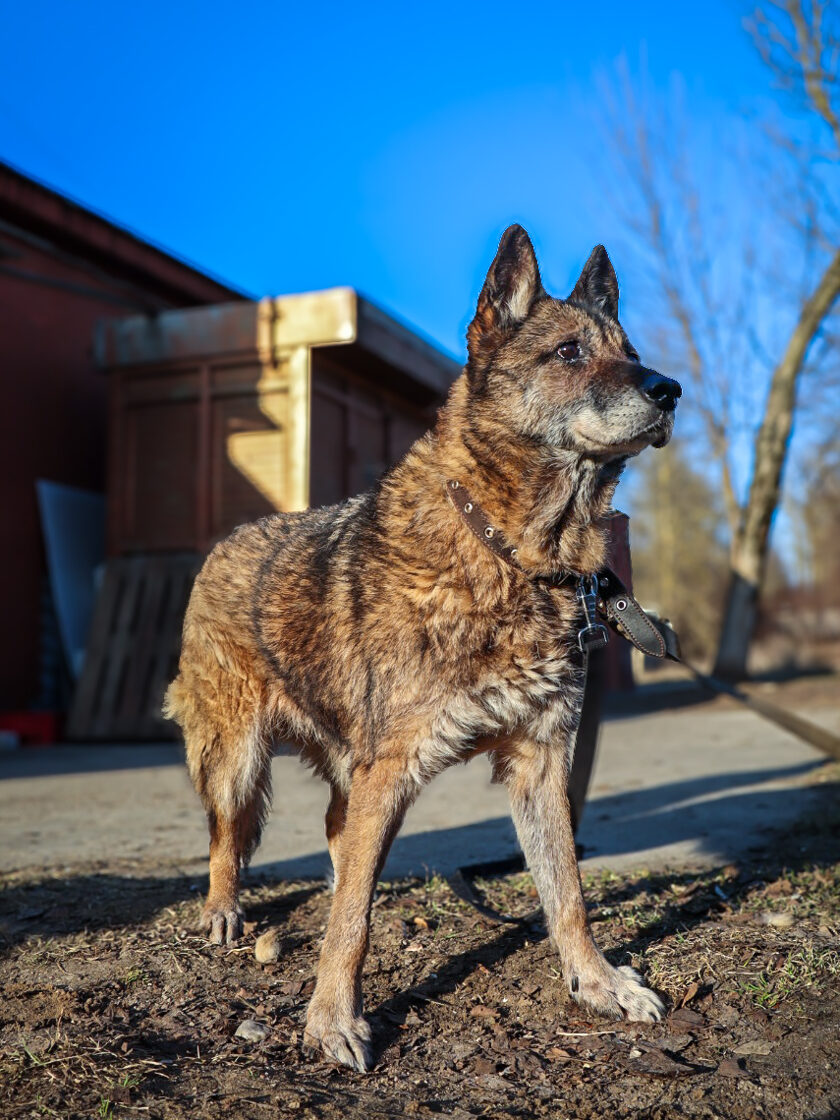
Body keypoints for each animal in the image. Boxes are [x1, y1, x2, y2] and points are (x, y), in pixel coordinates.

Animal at [164, 225, 681, 1072]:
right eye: (569, 352)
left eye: (629, 351)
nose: (669, 390)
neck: (511, 551)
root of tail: (226, 540)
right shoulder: (394, 769)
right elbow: (353, 923)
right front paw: (331, 1018)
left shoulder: (541, 764)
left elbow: (566, 891)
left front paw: (597, 982)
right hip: (236, 758)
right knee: (227, 837)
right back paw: (221, 910)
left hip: (350, 768)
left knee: (336, 836)